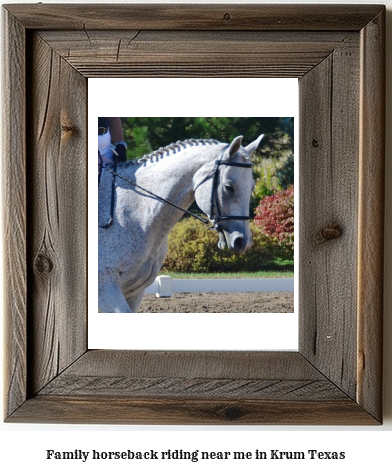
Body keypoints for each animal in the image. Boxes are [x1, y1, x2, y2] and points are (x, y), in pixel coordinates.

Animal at [98, 133, 264, 312]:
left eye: (252, 186)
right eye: (228, 187)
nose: (242, 242)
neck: (136, 210)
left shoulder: (134, 293)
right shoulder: (106, 289)